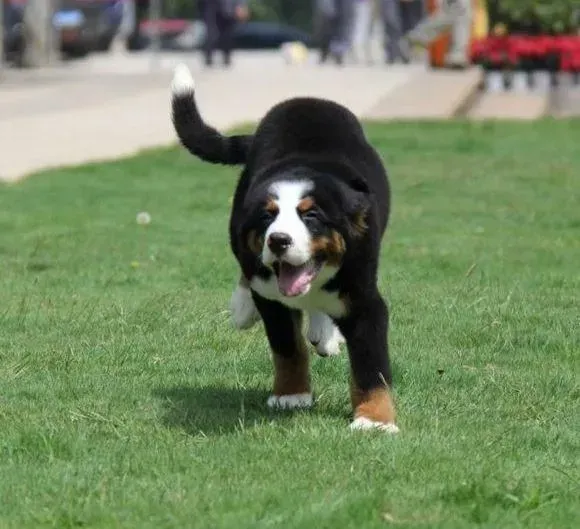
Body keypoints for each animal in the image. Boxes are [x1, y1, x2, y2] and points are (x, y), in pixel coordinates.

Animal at [171, 64, 398, 432]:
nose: (278, 240)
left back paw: (324, 333)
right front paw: (291, 395)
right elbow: (288, 348)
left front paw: (374, 421)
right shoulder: (271, 298)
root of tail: (305, 100)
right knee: (247, 270)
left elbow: (371, 366)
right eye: (268, 216)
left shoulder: (364, 299)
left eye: (311, 215)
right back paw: (243, 307)